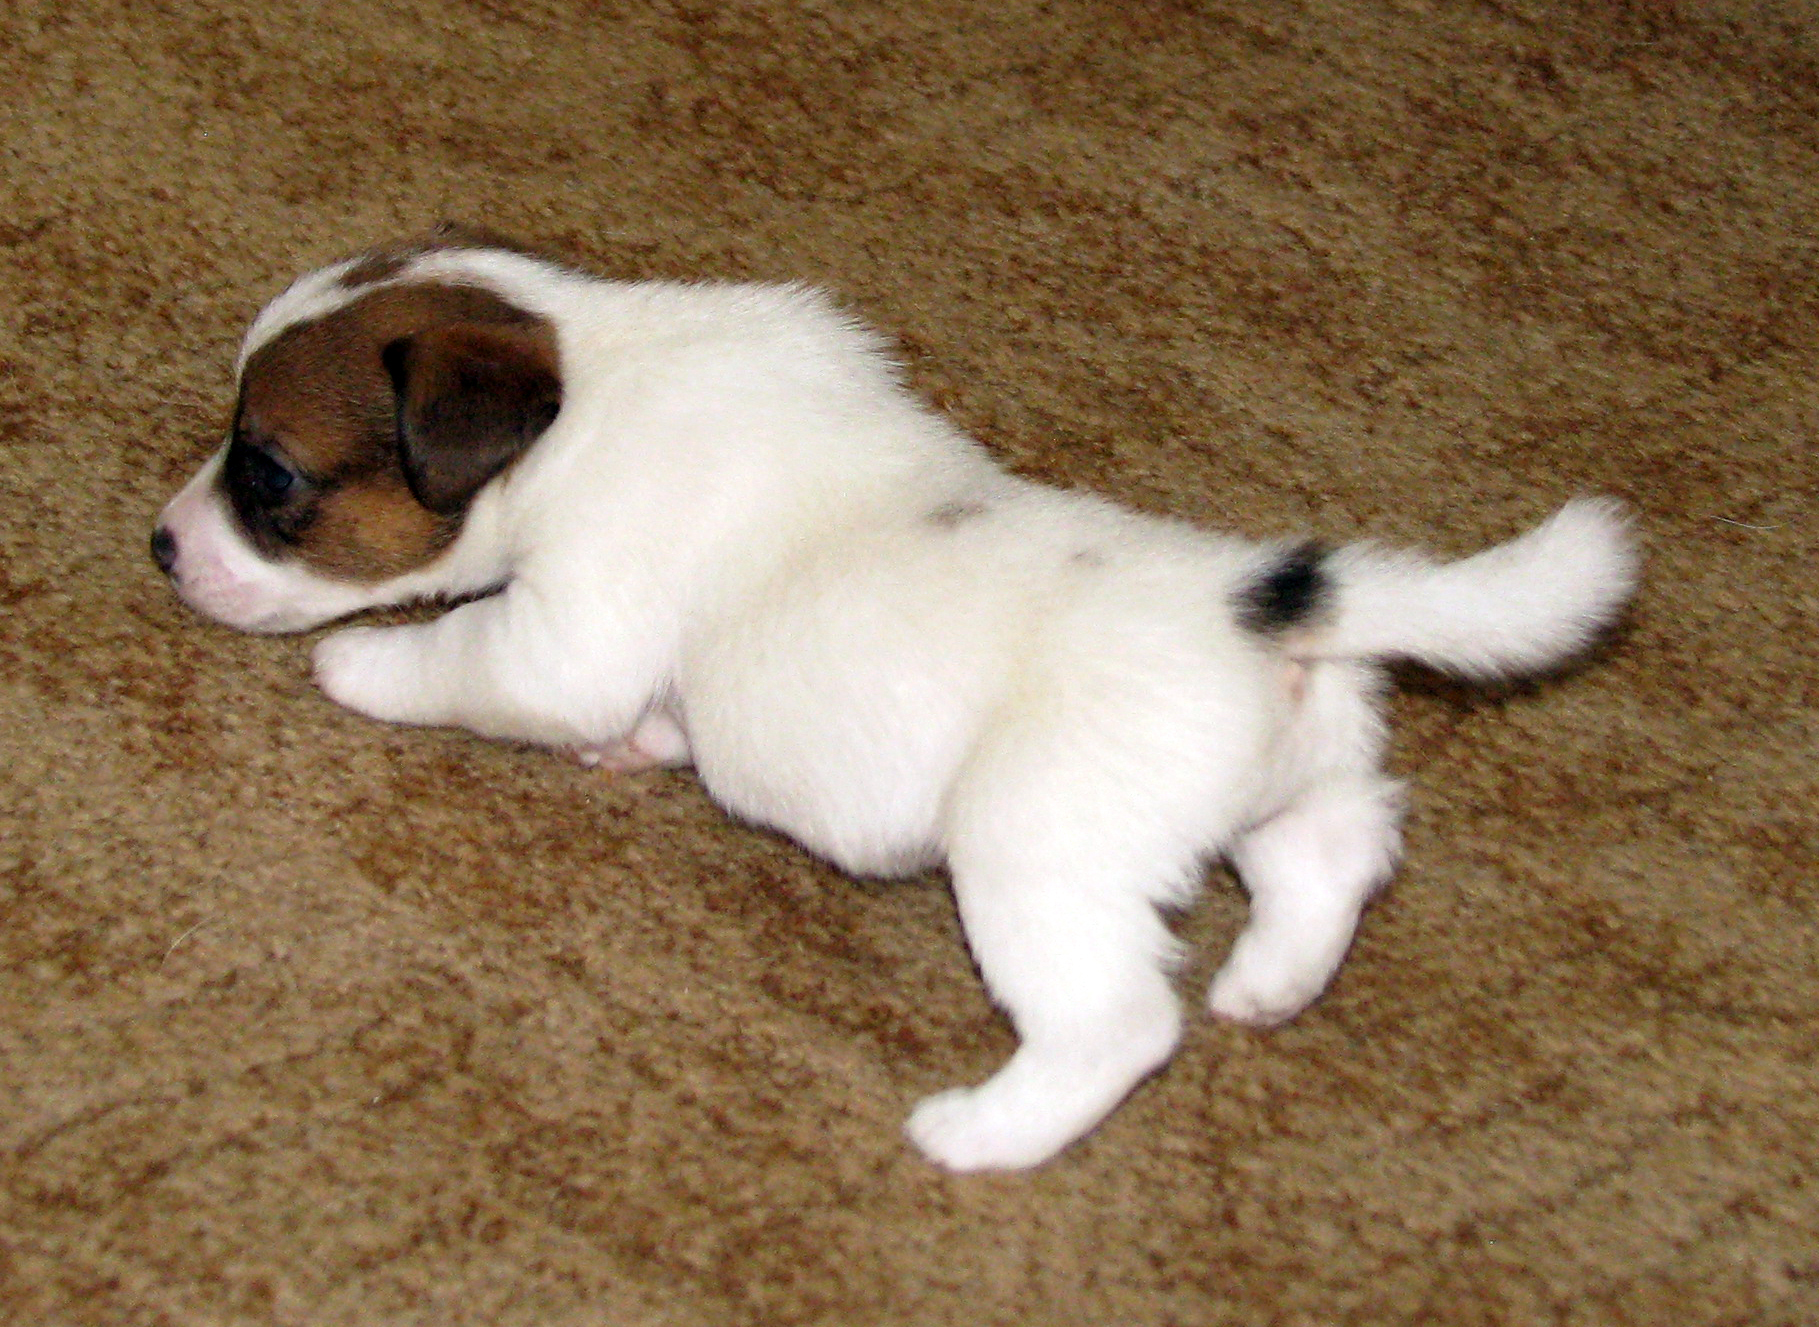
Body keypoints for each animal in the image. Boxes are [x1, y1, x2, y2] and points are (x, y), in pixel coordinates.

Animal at [153, 226, 1638, 1171]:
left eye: (269, 474)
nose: (163, 545)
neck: (581, 380)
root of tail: (1270, 599)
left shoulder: (561, 635)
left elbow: (459, 655)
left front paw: (356, 666)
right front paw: (645, 745)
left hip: (1037, 855)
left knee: (1118, 1023)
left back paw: (980, 1134)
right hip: (1291, 779)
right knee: (1332, 855)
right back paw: (1268, 985)